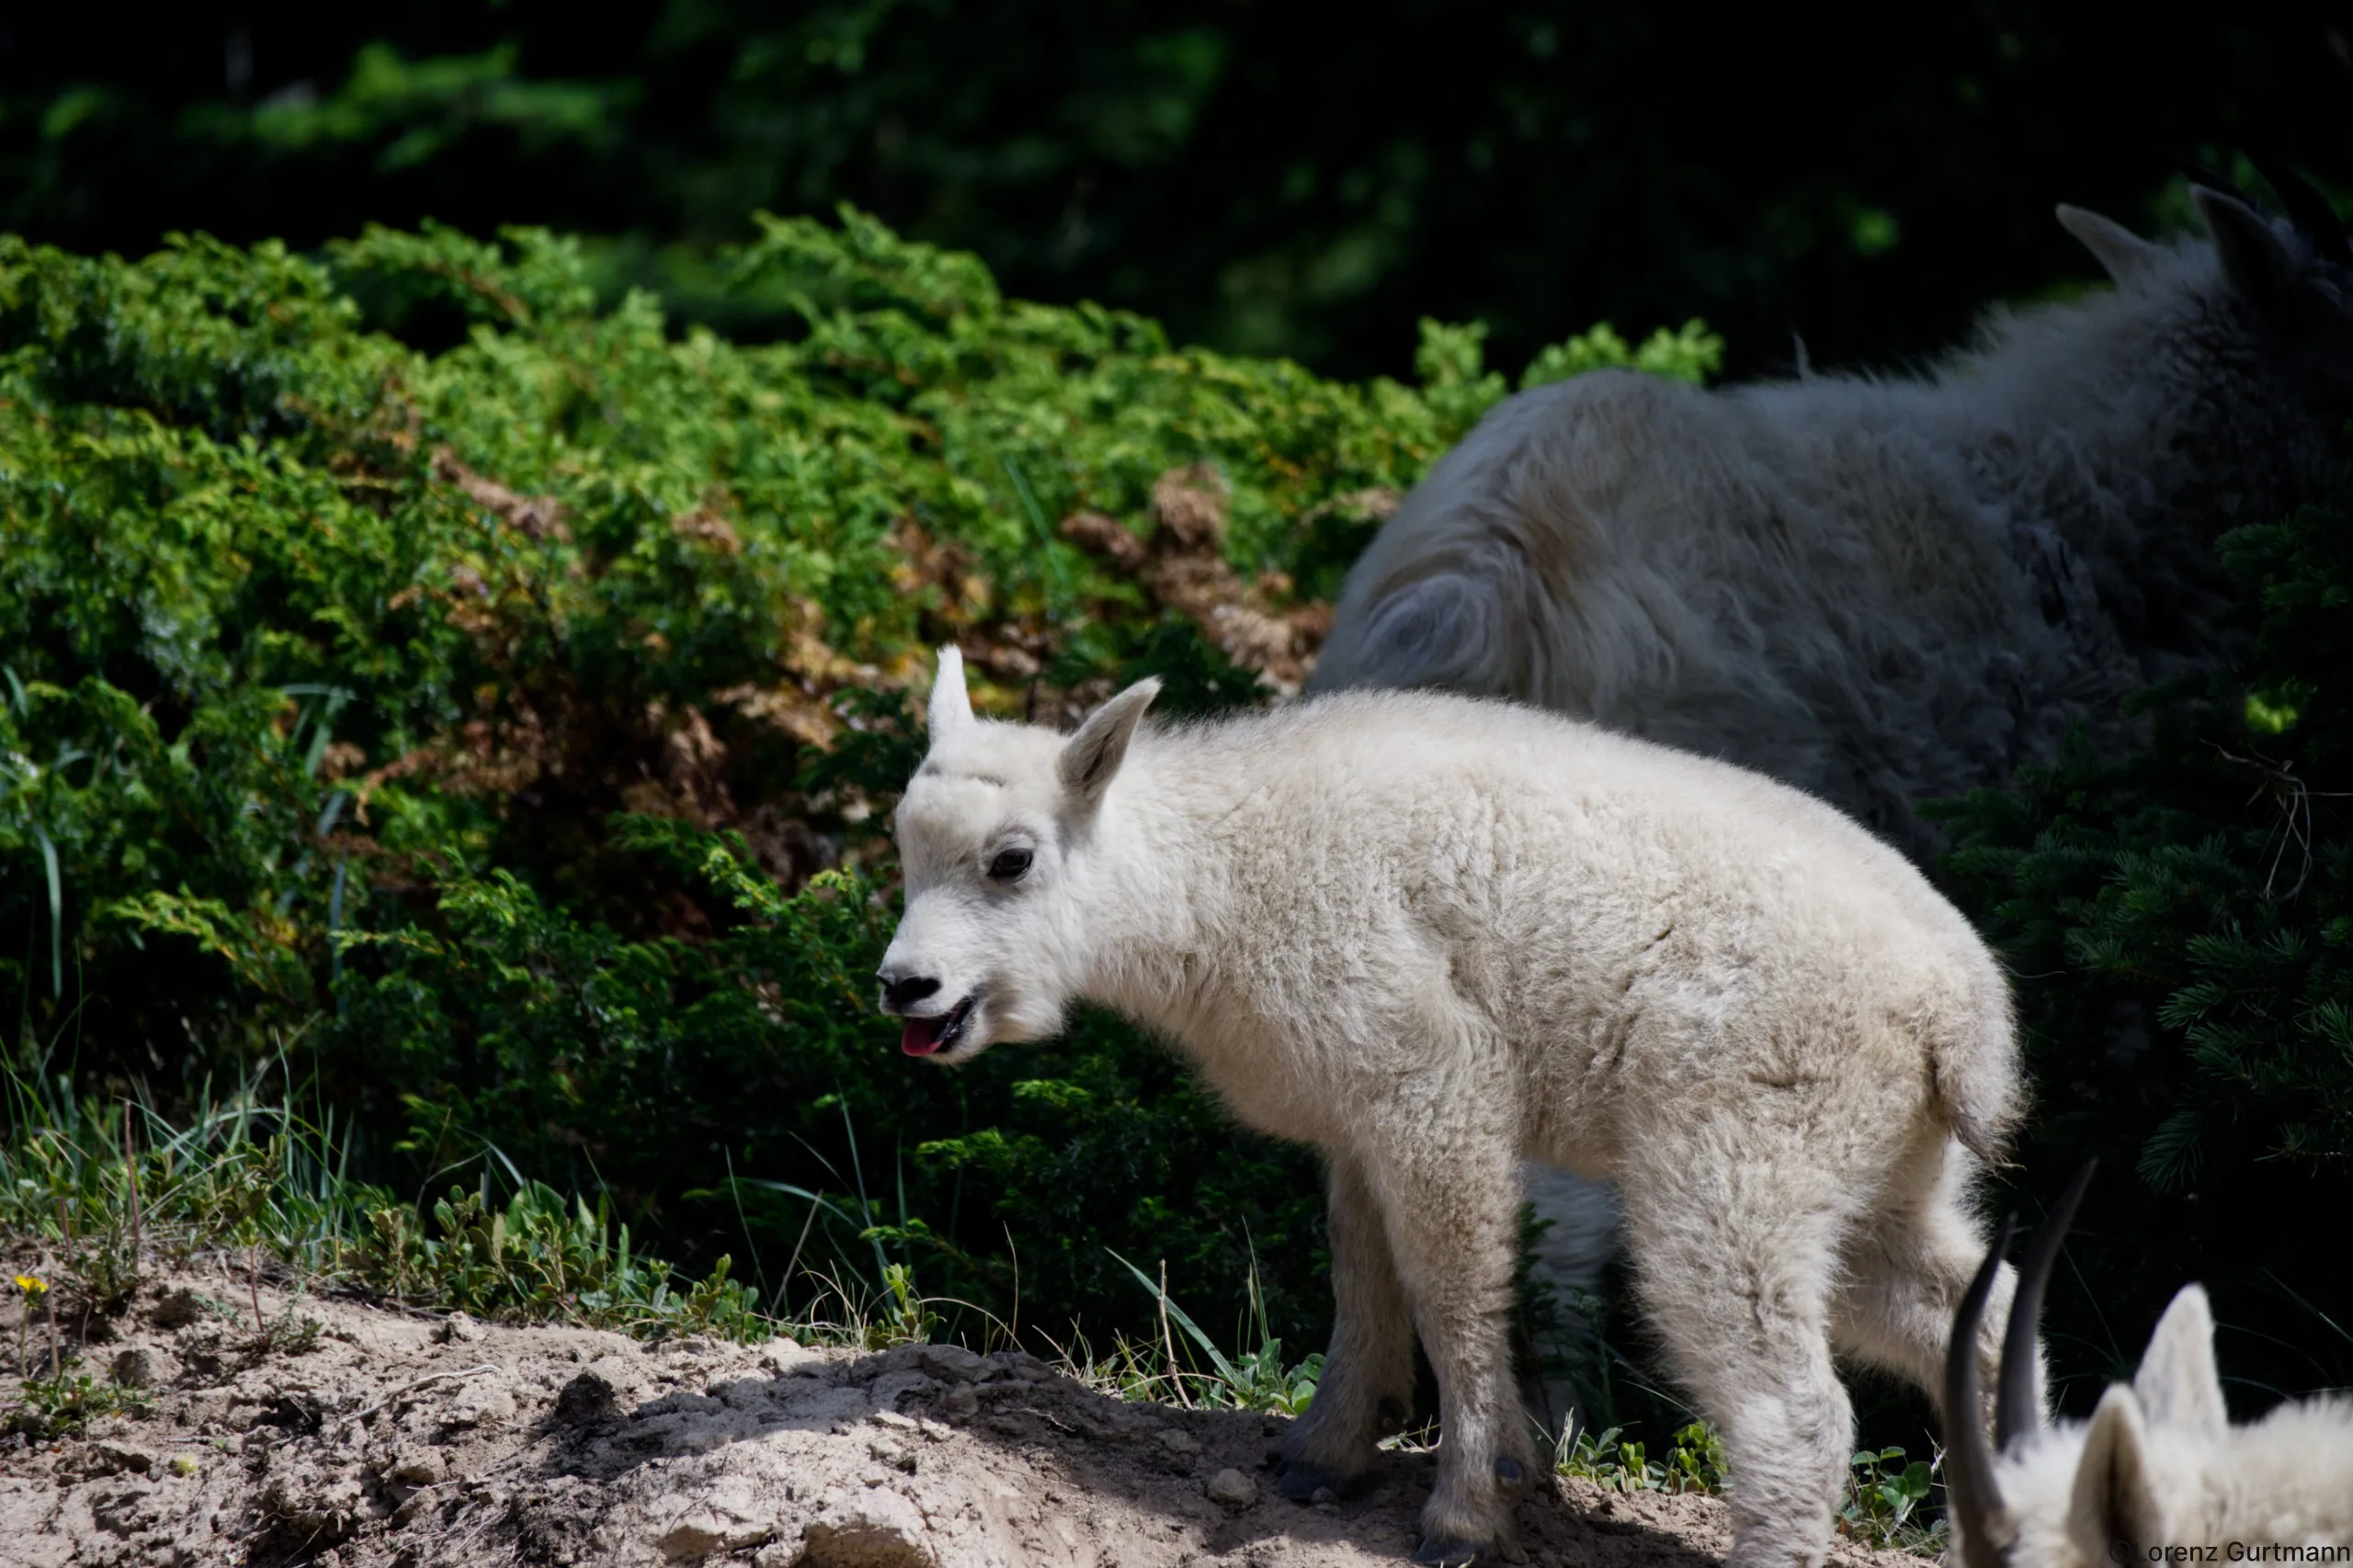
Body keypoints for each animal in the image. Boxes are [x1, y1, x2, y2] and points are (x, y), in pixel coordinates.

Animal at [884, 644, 2023, 1562]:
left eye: (1013, 857)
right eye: (901, 845)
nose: (906, 986)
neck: (1214, 882)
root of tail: (1961, 1020)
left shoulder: (1433, 1077)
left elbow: (1449, 1286)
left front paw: (1471, 1505)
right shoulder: (1359, 1116)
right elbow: (1362, 1275)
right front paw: (1322, 1454)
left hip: (1743, 1163)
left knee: (1799, 1410)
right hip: (1876, 1177)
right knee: (1974, 1311)